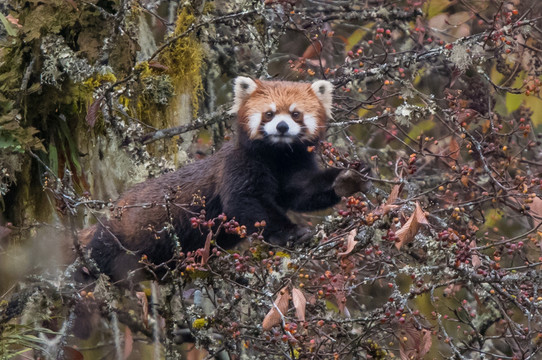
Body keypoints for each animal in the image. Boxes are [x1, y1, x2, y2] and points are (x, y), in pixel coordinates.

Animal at [85, 77, 372, 282]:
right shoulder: (237, 166)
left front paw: (347, 179)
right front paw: (291, 232)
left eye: (295, 114)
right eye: (269, 114)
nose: (281, 127)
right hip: (117, 235)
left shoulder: (297, 164)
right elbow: (245, 202)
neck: (278, 157)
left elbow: (303, 192)